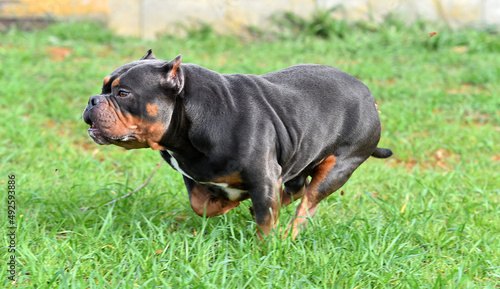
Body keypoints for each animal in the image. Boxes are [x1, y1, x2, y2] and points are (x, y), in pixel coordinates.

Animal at [82, 50, 392, 238]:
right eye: (104, 88)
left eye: (123, 93)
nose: (92, 100)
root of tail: (370, 98)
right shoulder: (194, 176)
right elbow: (201, 205)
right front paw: (229, 202)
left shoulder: (263, 177)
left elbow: (266, 221)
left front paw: (265, 249)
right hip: (301, 156)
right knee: (297, 187)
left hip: (338, 167)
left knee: (308, 203)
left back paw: (288, 234)